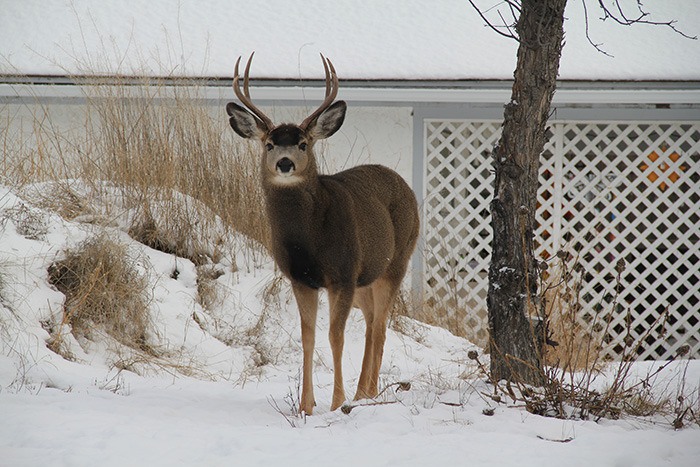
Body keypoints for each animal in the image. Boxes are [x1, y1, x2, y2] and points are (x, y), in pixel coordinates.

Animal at [227, 53, 418, 414]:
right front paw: (306, 405)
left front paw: (335, 402)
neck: (308, 240)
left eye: (303, 143)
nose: (285, 163)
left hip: (396, 261)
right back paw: (363, 392)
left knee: (380, 326)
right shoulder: (301, 278)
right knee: (372, 322)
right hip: (364, 277)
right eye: (269, 143)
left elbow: (335, 336)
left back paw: (365, 394)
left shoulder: (341, 273)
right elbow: (308, 337)